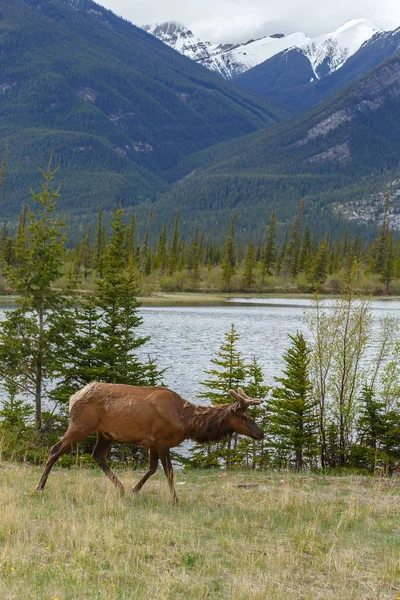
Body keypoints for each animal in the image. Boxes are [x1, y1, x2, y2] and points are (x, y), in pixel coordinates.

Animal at [36, 384, 262, 502]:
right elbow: (168, 471)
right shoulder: (162, 440)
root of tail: (72, 398)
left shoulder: (154, 443)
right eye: (244, 417)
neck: (186, 421)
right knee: (55, 449)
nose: (261, 434)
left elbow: (152, 469)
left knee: (98, 456)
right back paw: (40, 486)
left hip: (105, 433)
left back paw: (121, 488)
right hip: (81, 425)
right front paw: (175, 499)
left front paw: (134, 490)